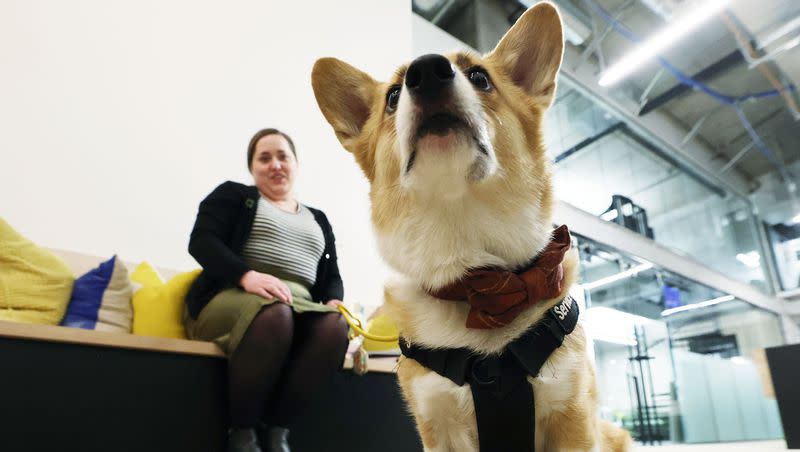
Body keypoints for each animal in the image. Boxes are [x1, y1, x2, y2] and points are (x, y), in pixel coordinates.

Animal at [312, 3, 632, 452]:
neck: (482, 279)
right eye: (392, 97)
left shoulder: (571, 418)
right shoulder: (439, 425)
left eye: (480, 77)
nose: (427, 71)